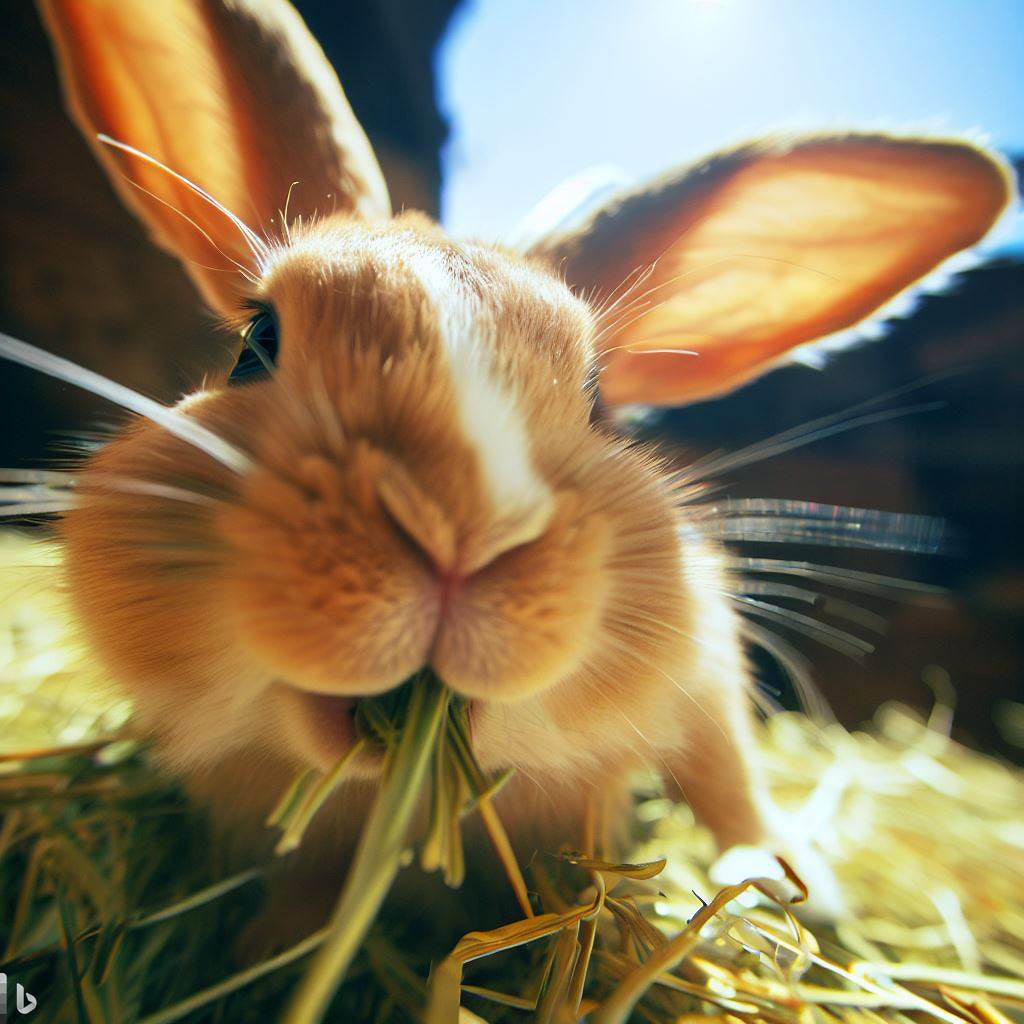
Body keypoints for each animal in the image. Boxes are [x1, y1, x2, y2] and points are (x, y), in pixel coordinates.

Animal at [8, 0, 1011, 937]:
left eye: (599, 399)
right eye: (258, 343)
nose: (460, 532)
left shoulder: (707, 670)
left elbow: (727, 778)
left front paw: (783, 888)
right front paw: (269, 950)